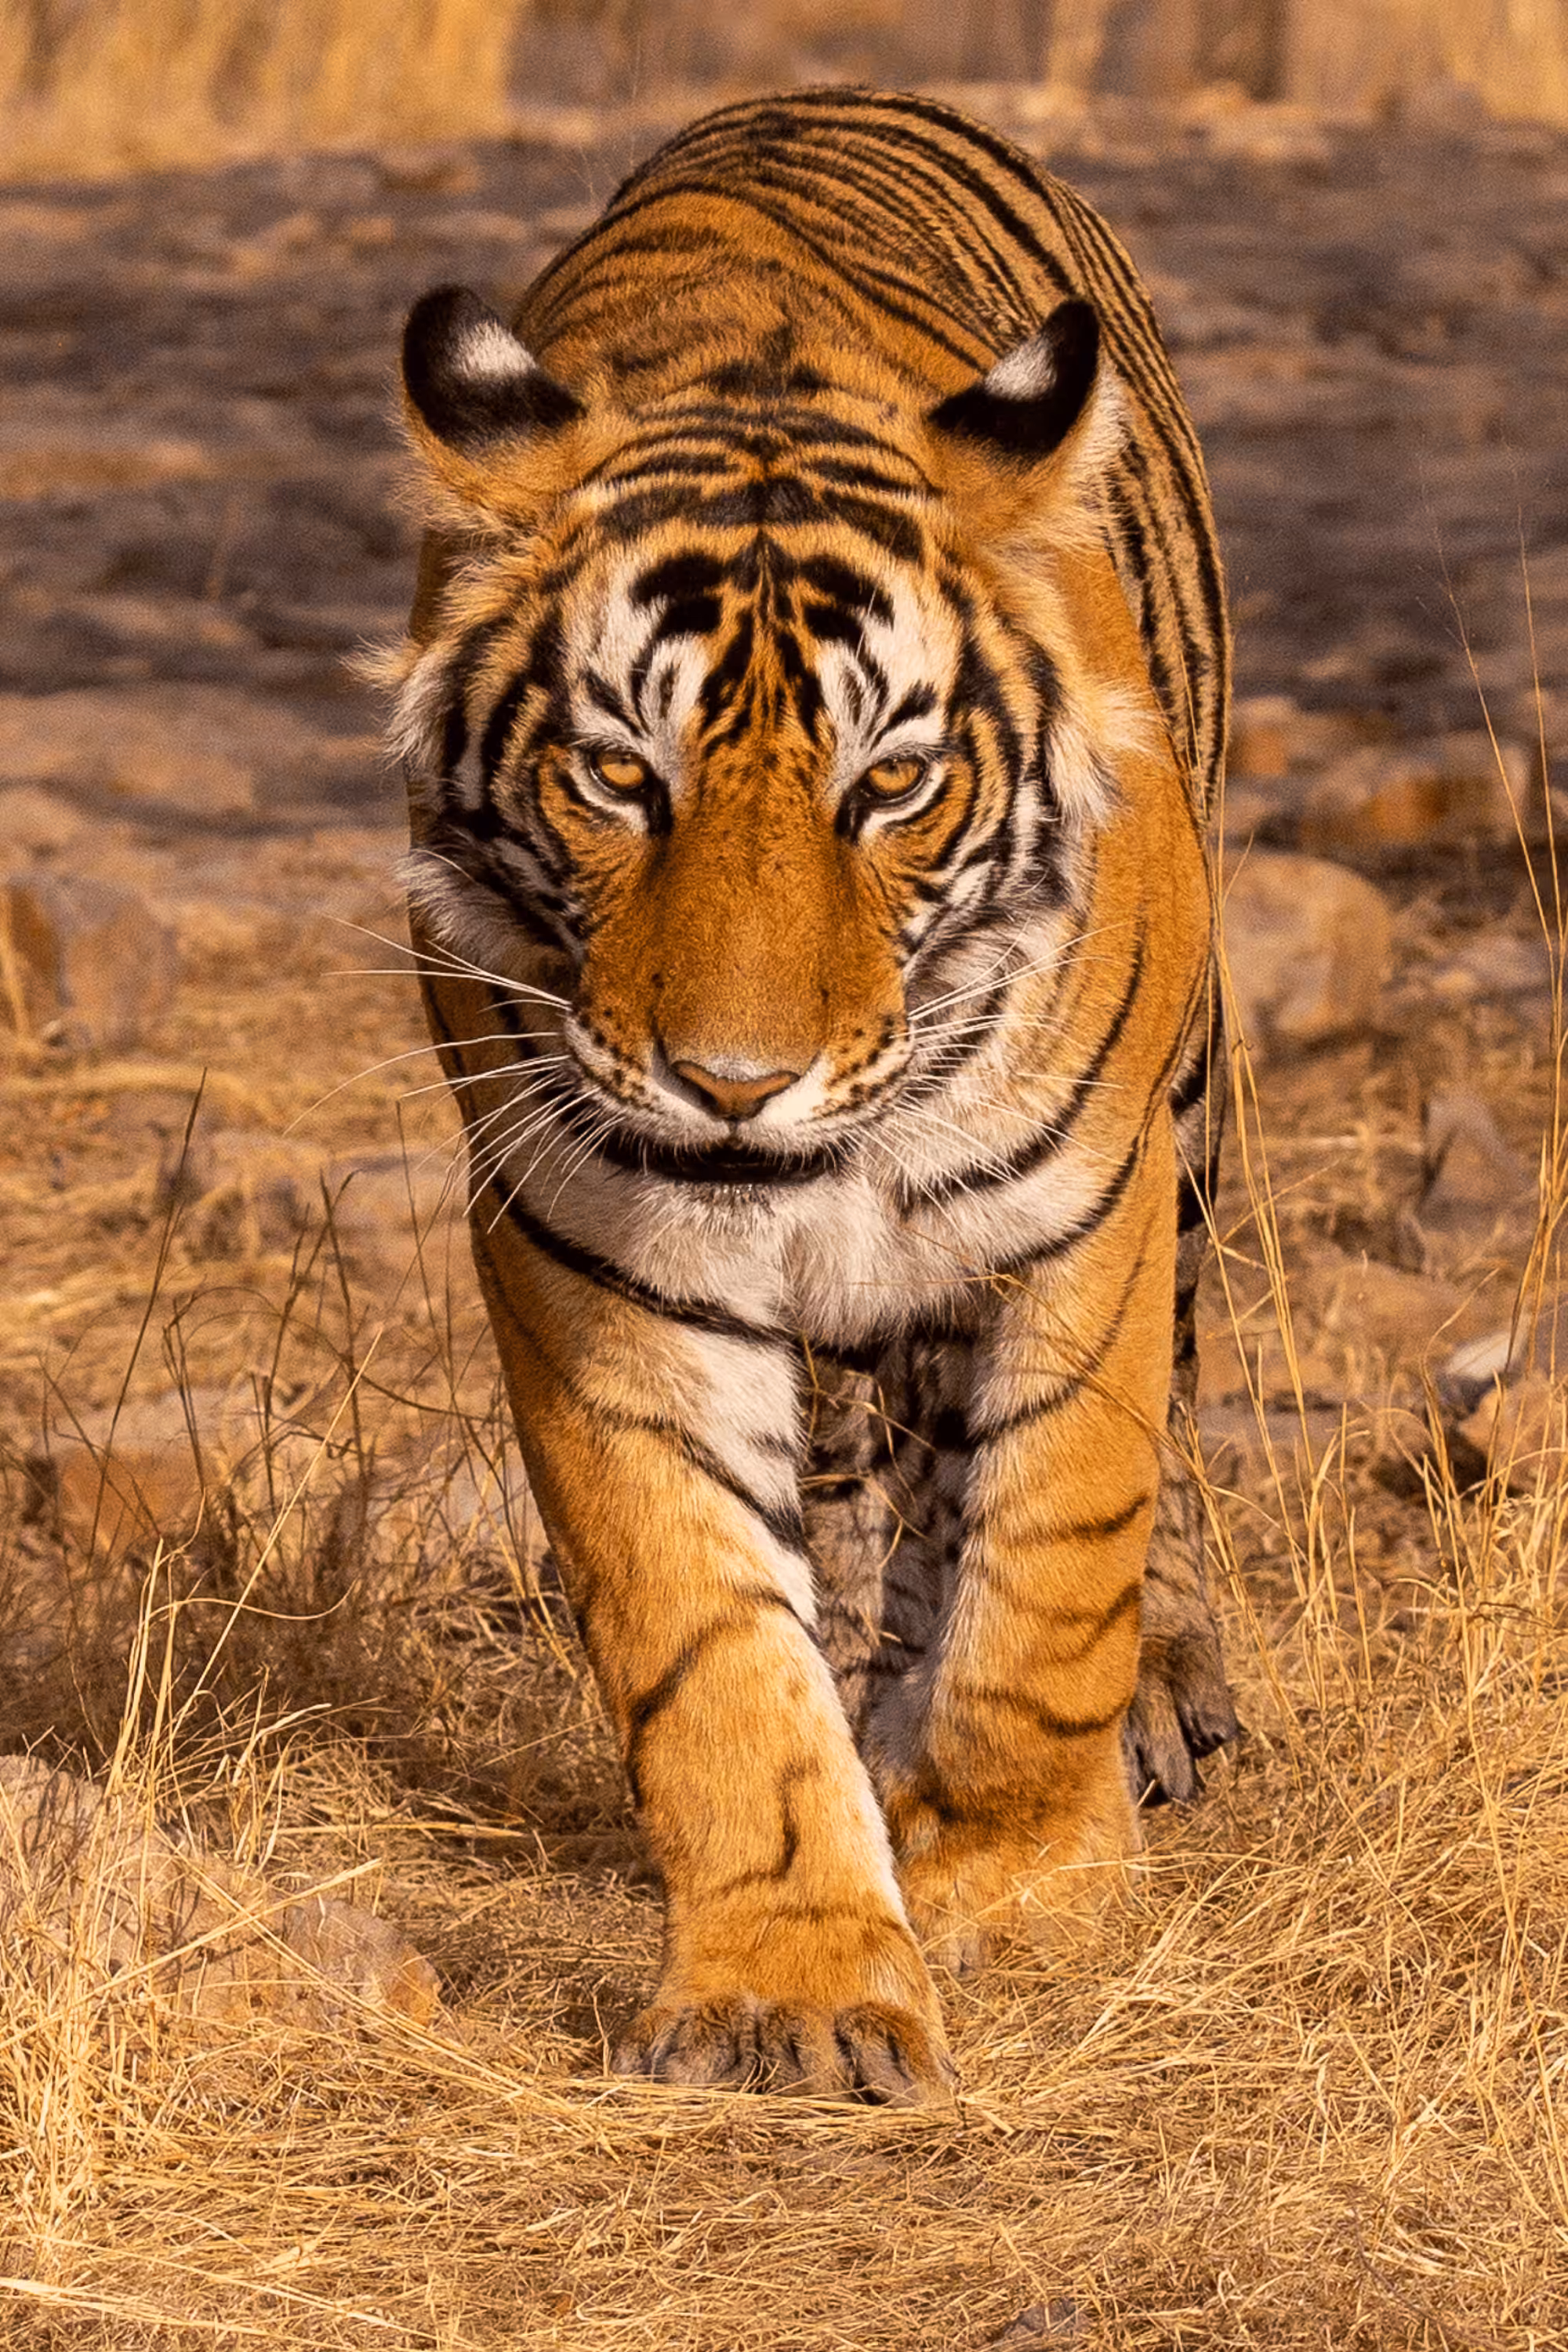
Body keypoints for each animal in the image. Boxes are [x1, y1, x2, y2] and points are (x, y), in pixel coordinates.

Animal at [382, 86, 1238, 2105]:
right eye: (618, 776)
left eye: (893, 782)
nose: (735, 1085)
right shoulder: (591, 1254)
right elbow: (707, 1635)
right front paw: (790, 1985)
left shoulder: (1082, 1210)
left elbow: (1047, 1575)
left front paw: (1012, 1880)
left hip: (1185, 1130)